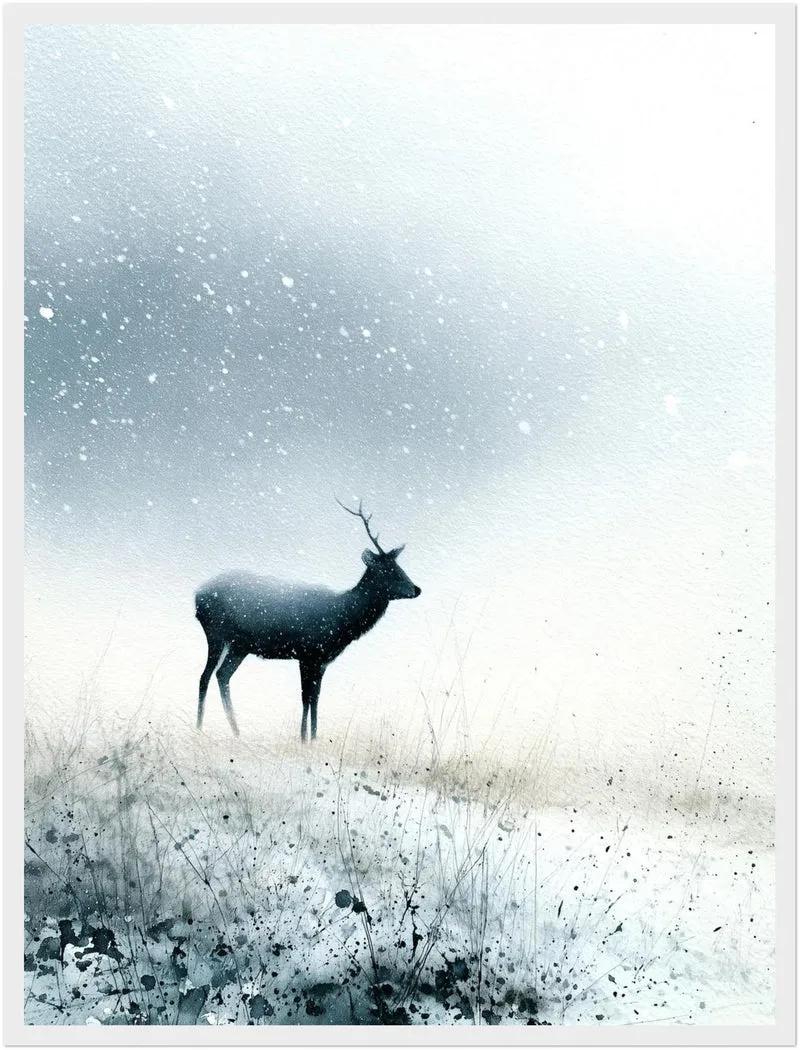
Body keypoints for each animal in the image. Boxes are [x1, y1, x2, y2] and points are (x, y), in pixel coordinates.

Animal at [194, 499, 421, 742]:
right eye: (389, 571)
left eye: (400, 568)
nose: (417, 589)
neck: (341, 621)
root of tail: (197, 597)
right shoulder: (307, 653)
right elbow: (305, 697)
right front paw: (303, 739)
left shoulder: (321, 660)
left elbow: (316, 698)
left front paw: (313, 738)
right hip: (215, 633)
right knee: (205, 676)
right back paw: (199, 728)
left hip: (240, 646)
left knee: (222, 675)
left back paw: (236, 732)